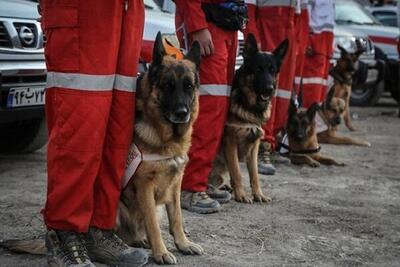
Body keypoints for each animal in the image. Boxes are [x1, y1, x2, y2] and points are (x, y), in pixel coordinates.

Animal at [208, 34, 290, 204]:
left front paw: (258, 194)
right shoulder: (230, 142)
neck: (250, 106)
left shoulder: (255, 144)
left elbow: (254, 174)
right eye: (258, 69)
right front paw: (241, 195)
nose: (269, 89)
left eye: (272, 70)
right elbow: (237, 172)